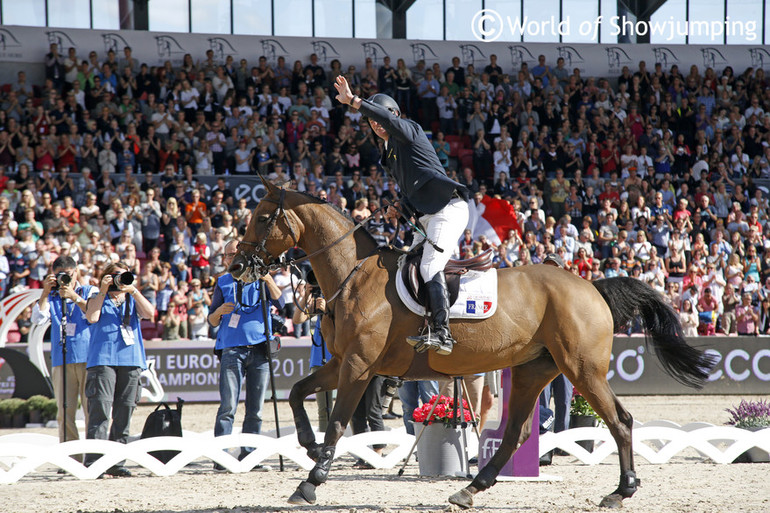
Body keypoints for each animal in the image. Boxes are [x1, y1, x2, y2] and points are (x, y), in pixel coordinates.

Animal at [230, 181, 712, 508]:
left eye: (262, 218)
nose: (236, 267)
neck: (353, 274)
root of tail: (589, 285)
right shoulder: (343, 363)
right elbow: (297, 393)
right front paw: (308, 447)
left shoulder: (359, 366)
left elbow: (335, 423)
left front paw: (311, 479)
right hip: (533, 369)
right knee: (517, 432)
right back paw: (470, 488)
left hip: (582, 369)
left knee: (620, 420)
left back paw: (621, 490)